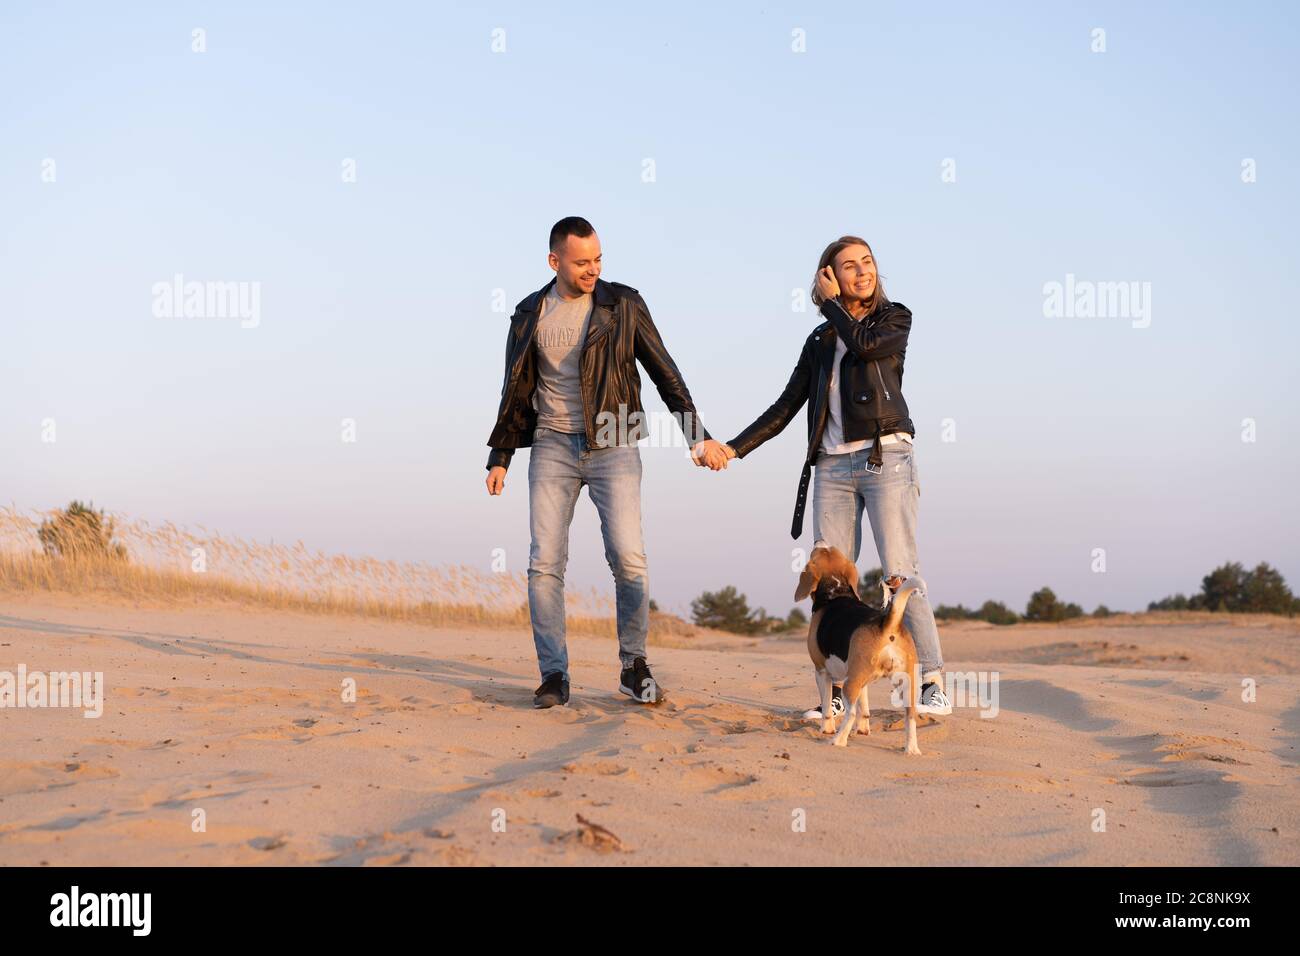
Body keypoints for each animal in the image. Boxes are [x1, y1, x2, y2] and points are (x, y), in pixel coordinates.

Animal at [790, 546, 925, 754]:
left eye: (816, 553)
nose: (820, 544)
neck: (837, 592)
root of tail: (888, 624)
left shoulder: (821, 671)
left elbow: (827, 708)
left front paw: (826, 729)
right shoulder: (862, 679)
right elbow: (865, 709)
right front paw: (863, 730)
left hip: (849, 684)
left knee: (851, 713)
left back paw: (837, 740)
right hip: (904, 683)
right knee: (910, 715)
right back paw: (911, 750)